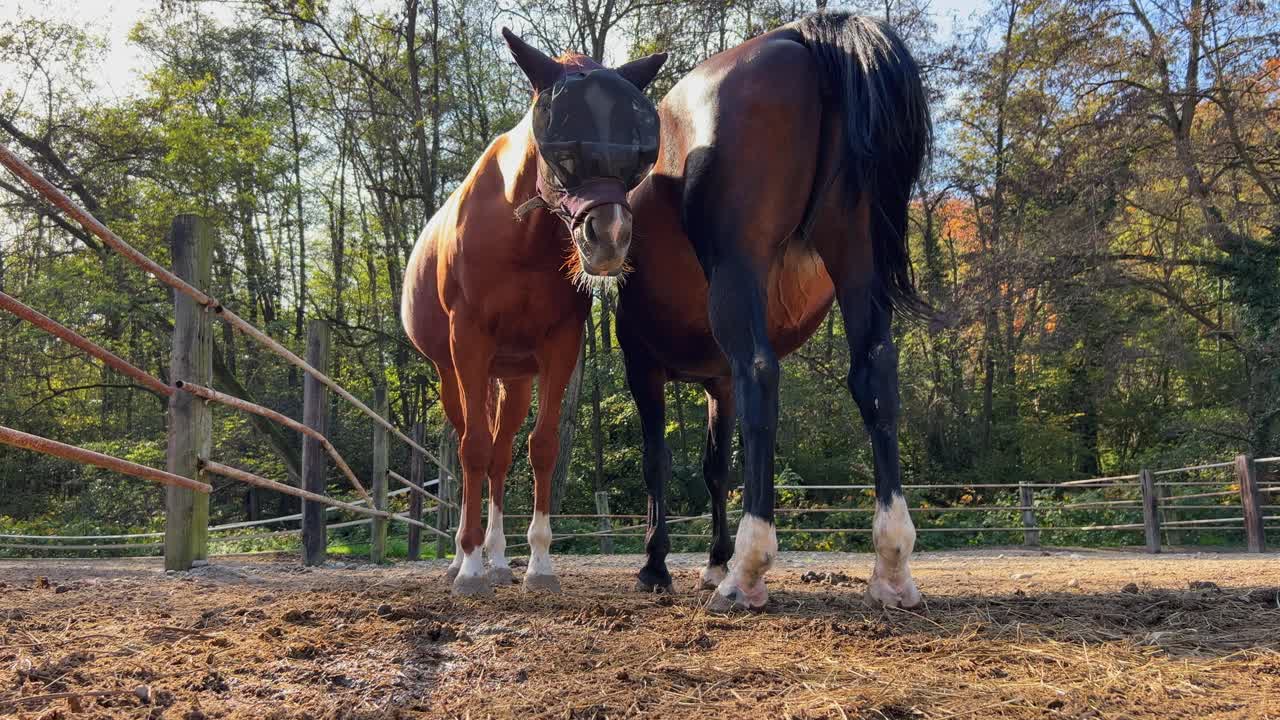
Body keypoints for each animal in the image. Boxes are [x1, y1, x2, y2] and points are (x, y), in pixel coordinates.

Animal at [401, 29, 666, 596]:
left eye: (638, 152)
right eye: (561, 148)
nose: (609, 238)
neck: (518, 237)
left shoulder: (559, 346)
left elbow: (541, 448)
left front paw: (538, 565)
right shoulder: (469, 343)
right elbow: (473, 450)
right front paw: (469, 569)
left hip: (514, 378)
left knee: (502, 457)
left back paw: (499, 559)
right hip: (451, 374)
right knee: (471, 445)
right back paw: (463, 558)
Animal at [617, 12, 931, 610]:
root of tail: (804, 35)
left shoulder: (641, 365)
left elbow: (656, 460)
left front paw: (657, 565)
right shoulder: (718, 384)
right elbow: (716, 468)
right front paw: (712, 561)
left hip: (739, 274)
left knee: (762, 373)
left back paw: (748, 568)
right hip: (857, 261)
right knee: (875, 373)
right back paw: (891, 565)